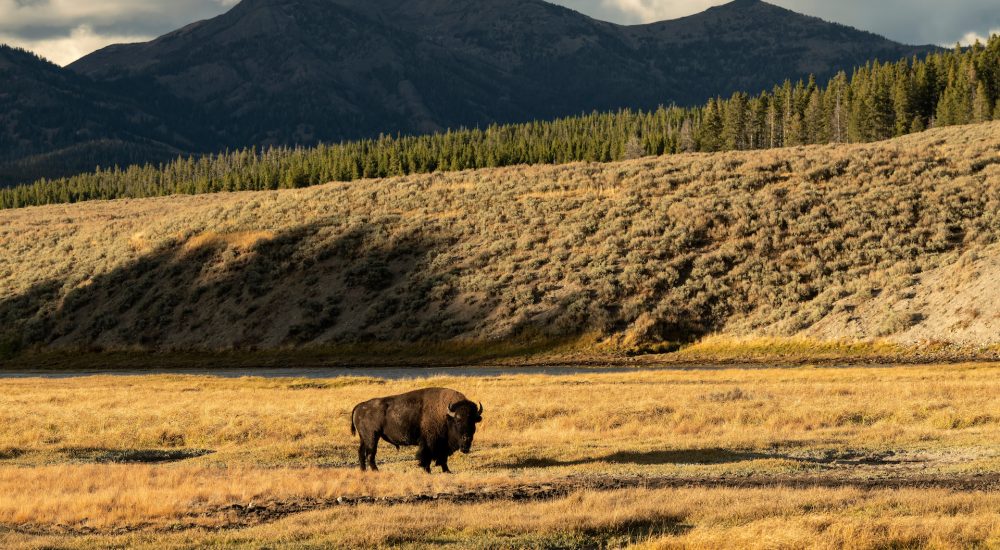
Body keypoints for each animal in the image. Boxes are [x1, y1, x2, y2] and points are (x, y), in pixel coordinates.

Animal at [352, 388, 484, 474]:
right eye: (458, 420)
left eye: (473, 421)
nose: (467, 438)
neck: (445, 415)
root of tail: (360, 406)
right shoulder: (429, 443)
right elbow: (426, 456)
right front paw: (427, 471)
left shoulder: (442, 445)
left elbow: (443, 458)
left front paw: (447, 471)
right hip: (372, 437)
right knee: (370, 454)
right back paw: (376, 471)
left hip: (364, 438)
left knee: (361, 452)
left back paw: (363, 471)